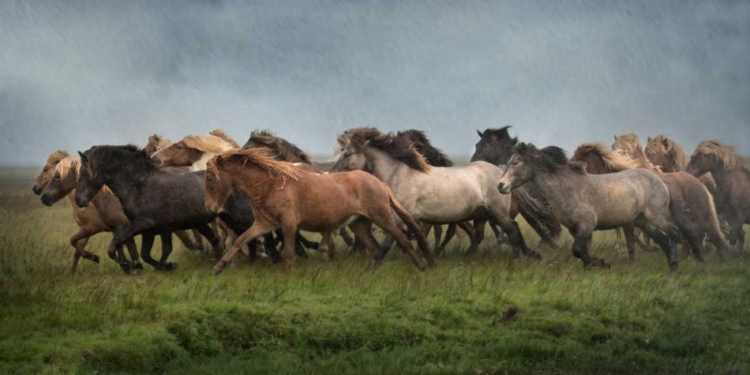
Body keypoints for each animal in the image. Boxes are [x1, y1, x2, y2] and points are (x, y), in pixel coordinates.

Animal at [75, 145, 225, 274]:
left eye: (84, 173)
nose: (78, 200)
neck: (139, 185)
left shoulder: (143, 224)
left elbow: (115, 246)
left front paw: (128, 266)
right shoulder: (151, 230)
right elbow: (144, 253)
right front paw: (165, 266)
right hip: (200, 223)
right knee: (215, 241)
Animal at [206, 148, 434, 274]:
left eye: (210, 178)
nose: (210, 208)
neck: (269, 186)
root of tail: (380, 184)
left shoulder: (289, 224)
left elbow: (289, 252)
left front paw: (289, 276)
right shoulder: (264, 224)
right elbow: (239, 240)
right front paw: (218, 268)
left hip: (382, 217)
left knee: (402, 240)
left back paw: (422, 267)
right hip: (358, 223)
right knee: (375, 249)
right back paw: (368, 274)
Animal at [330, 128, 540, 260]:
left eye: (346, 153)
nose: (332, 174)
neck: (399, 174)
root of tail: (502, 176)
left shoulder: (400, 216)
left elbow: (395, 238)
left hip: (497, 212)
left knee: (511, 230)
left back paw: (517, 258)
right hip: (481, 215)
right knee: (481, 235)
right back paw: (467, 258)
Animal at [576, 141, 728, 262]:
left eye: (580, 157)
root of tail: (700, 184)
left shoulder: (629, 223)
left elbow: (632, 243)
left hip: (702, 216)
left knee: (710, 236)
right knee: (693, 235)